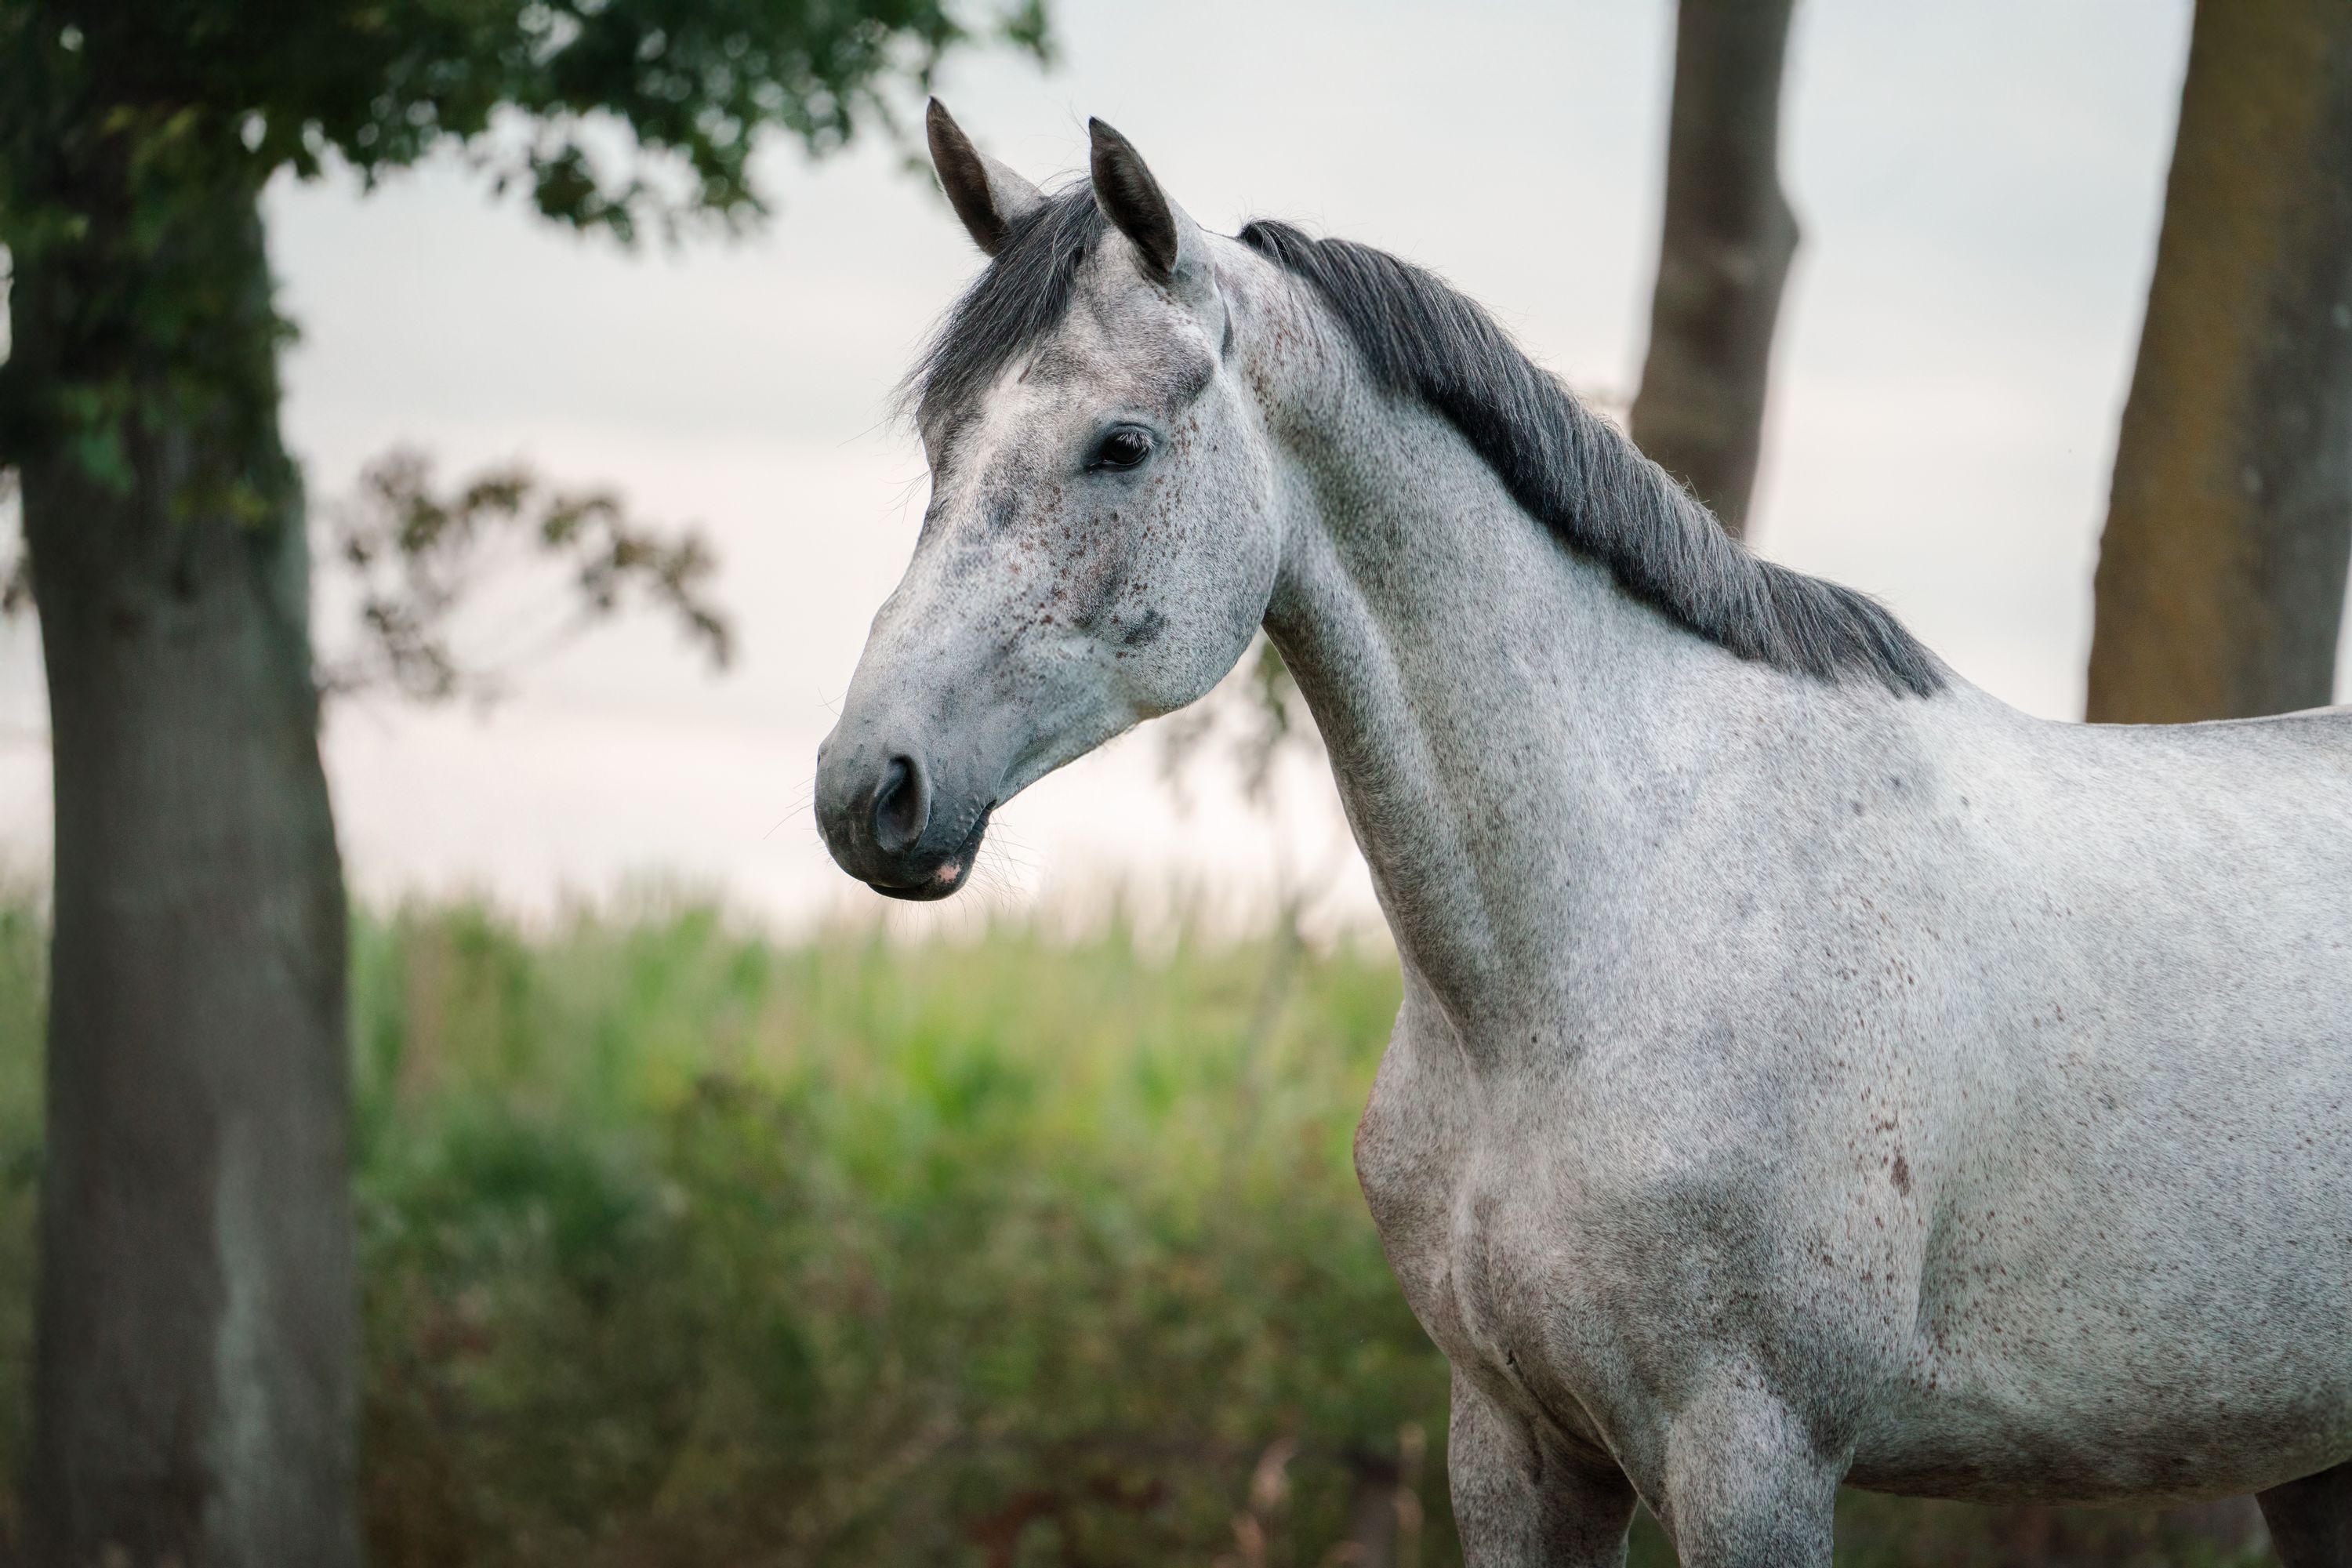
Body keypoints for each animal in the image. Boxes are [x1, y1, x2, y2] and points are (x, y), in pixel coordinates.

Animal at [814, 102, 2352, 1566]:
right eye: (943, 444)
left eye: (1120, 445)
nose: (865, 789)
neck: (1603, 929)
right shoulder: (1516, 1448)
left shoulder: (1753, 1458)